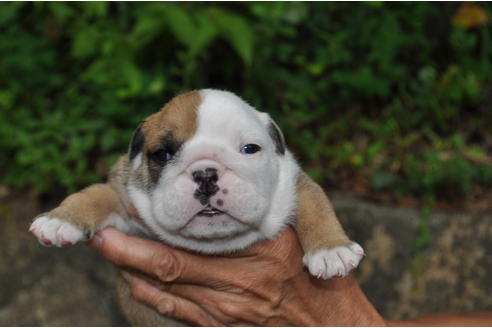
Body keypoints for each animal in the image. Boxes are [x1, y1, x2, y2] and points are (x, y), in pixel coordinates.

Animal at [28, 88, 364, 284]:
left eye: (249, 149)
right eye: (162, 154)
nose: (205, 174)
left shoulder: (293, 181)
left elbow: (315, 204)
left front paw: (331, 249)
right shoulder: (124, 196)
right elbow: (95, 194)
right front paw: (61, 219)